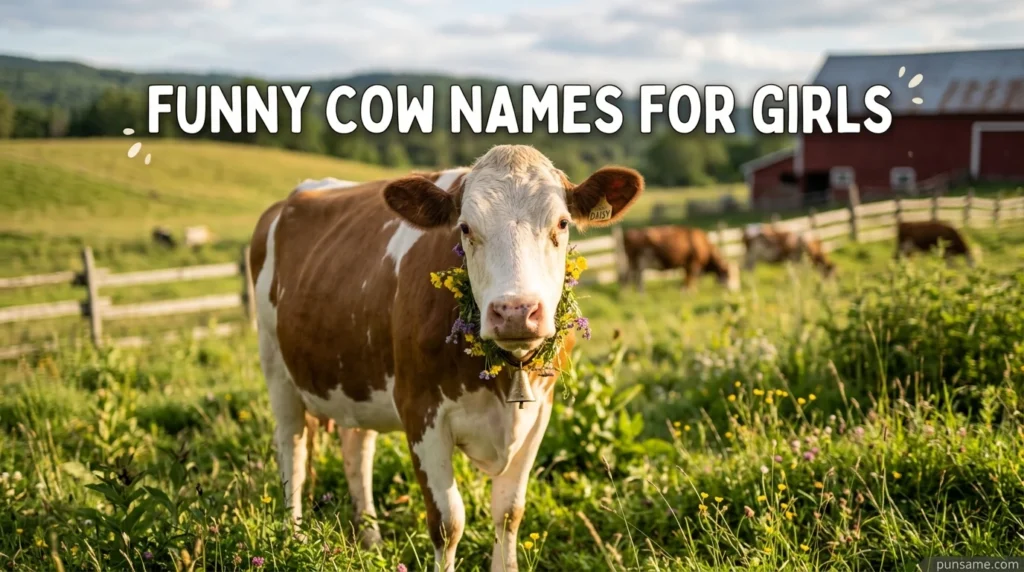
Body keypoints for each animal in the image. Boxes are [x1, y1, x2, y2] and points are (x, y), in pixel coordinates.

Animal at [248, 145, 643, 572]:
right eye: (465, 228)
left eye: (563, 223)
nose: (516, 311)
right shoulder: (420, 409)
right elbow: (448, 522)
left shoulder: (539, 412)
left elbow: (509, 512)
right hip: (276, 368)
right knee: (293, 449)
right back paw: (294, 537)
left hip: (356, 373)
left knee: (357, 448)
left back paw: (371, 539)